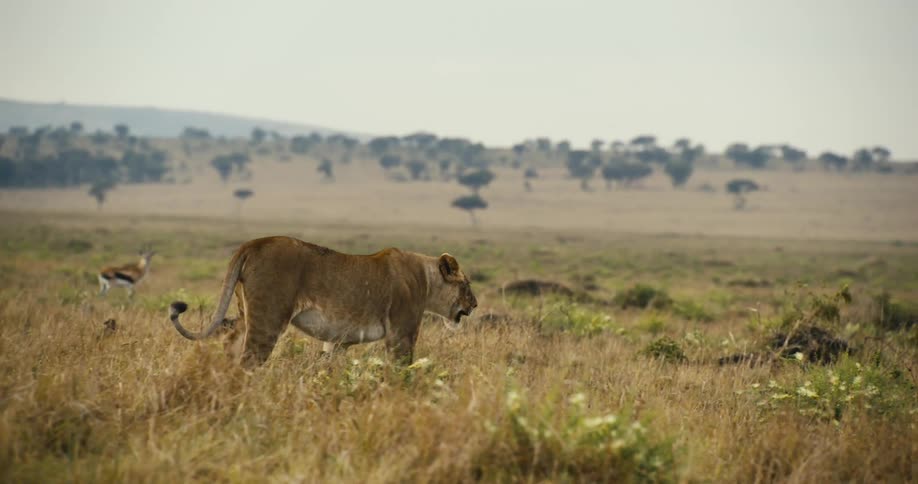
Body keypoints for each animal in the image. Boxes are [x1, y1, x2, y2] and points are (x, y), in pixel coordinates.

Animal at [169, 236, 478, 366]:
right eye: (467, 285)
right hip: (268, 317)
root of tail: (252, 244)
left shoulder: (339, 340)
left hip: (246, 312)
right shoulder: (401, 333)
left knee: (230, 342)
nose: (475, 305)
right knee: (248, 359)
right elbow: (402, 368)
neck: (426, 279)